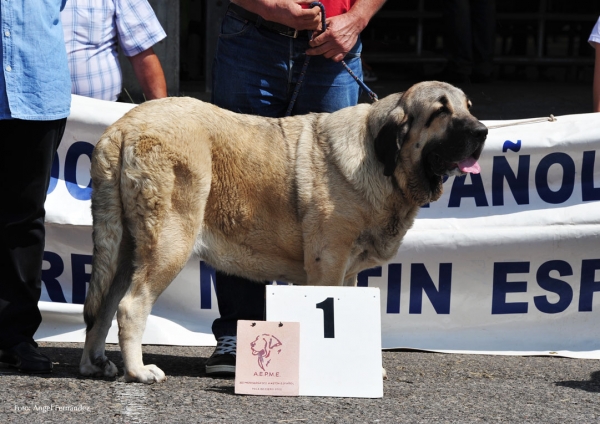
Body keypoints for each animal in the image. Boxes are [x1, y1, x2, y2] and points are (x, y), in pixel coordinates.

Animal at [78, 81, 488, 382]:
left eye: (468, 106)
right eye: (440, 112)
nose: (482, 131)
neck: (379, 158)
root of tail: (124, 126)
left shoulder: (348, 271)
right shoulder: (328, 264)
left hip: (126, 248)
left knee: (103, 305)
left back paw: (94, 364)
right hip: (169, 243)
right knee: (131, 305)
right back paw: (138, 371)